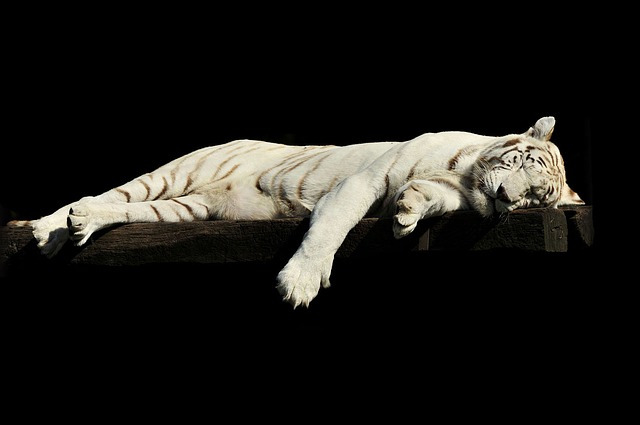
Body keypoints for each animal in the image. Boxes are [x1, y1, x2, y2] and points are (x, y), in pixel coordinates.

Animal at [8, 116, 584, 307]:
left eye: (537, 198)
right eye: (523, 164)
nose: (508, 198)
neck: (465, 177)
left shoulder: (458, 194)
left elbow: (427, 197)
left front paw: (406, 213)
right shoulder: (363, 180)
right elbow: (330, 228)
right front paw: (300, 283)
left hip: (184, 209)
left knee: (126, 212)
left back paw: (81, 225)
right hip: (172, 175)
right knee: (110, 194)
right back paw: (49, 228)